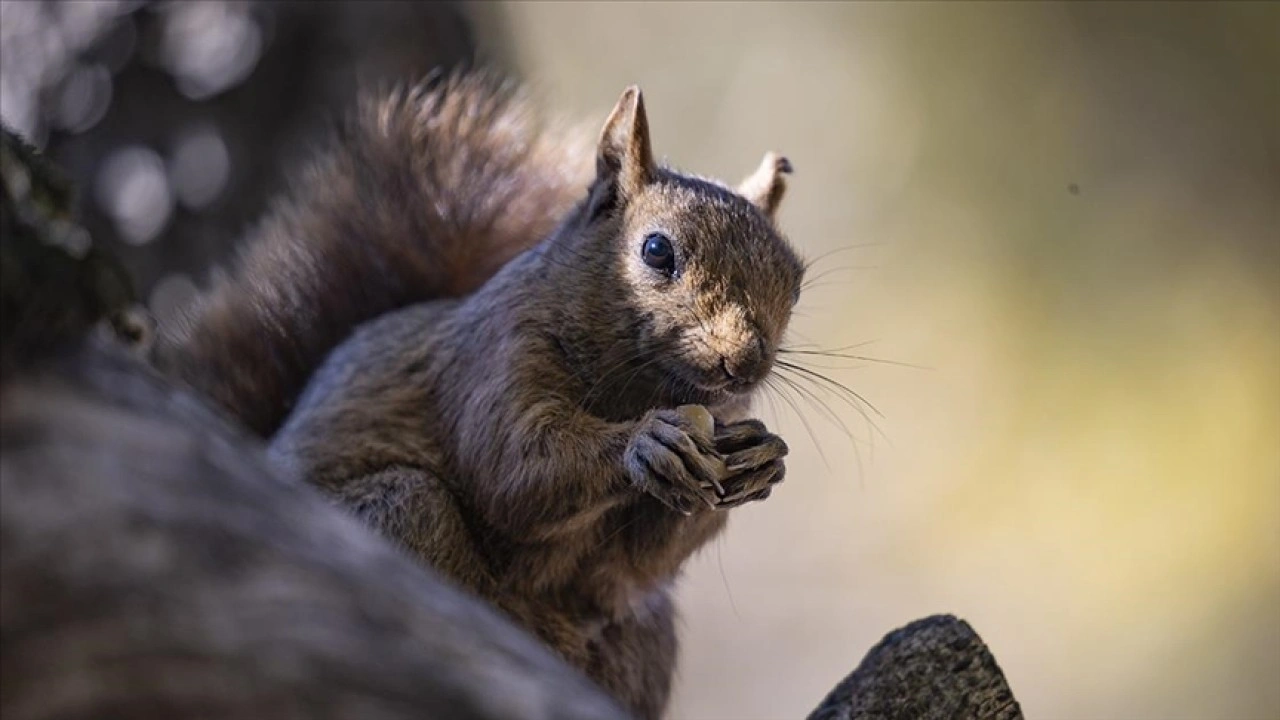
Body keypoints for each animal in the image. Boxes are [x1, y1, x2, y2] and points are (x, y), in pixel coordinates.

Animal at [154, 68, 803, 717]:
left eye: (795, 283)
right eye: (656, 251)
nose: (744, 363)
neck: (639, 387)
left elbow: (633, 565)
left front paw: (761, 459)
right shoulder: (493, 358)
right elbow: (515, 468)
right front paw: (646, 443)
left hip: (644, 636)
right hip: (397, 516)